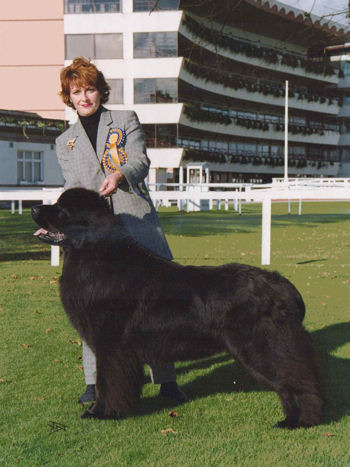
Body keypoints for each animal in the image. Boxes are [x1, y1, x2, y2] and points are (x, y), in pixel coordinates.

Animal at [32, 188, 322, 430]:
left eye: (61, 208)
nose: (34, 208)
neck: (94, 254)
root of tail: (282, 285)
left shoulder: (110, 345)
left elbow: (108, 383)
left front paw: (101, 412)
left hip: (264, 347)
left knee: (298, 380)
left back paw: (299, 421)